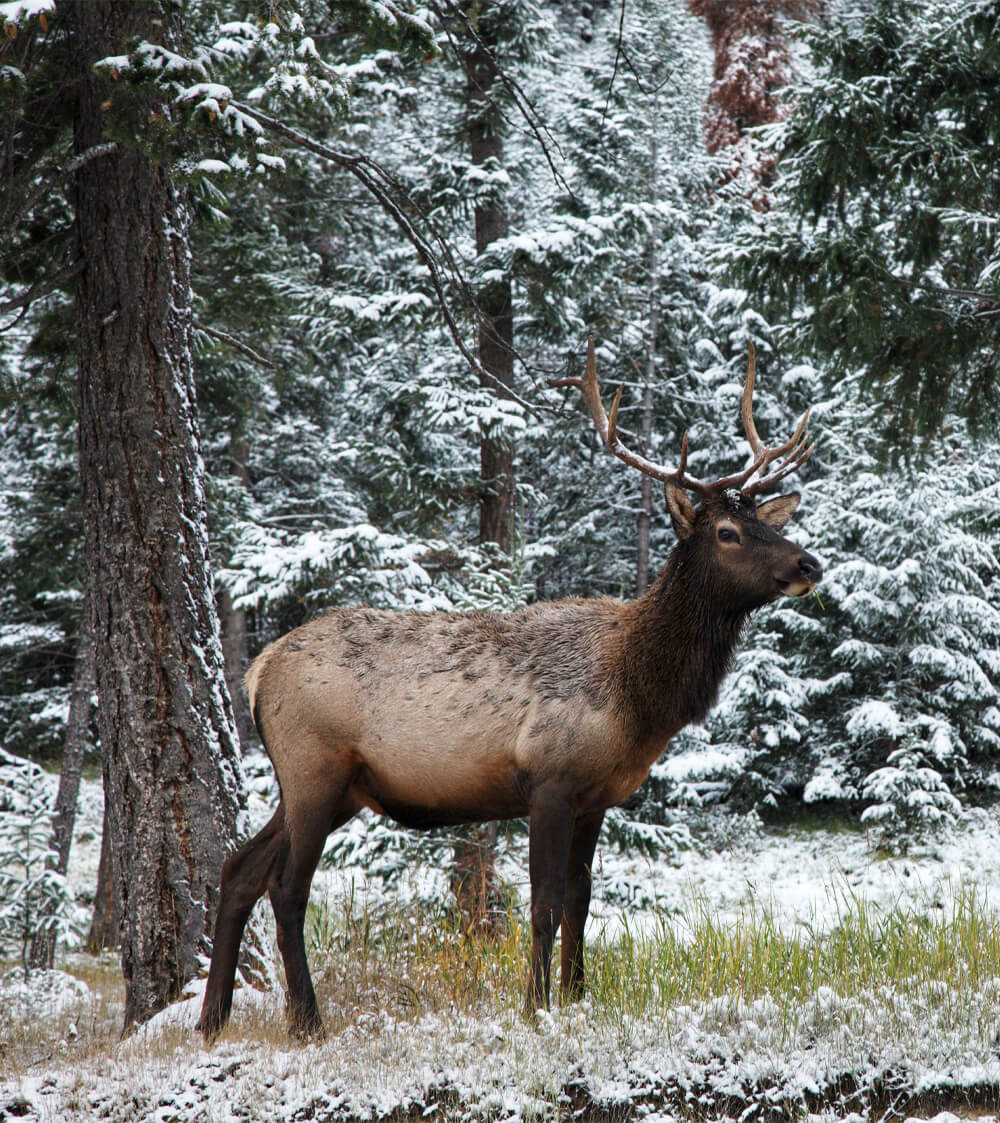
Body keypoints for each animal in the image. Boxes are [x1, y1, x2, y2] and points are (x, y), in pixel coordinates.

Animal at [194, 339, 817, 1042]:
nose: (809, 564)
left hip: (336, 785)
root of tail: (258, 670)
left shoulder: (596, 797)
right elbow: (544, 903)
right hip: (313, 766)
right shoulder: (549, 778)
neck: (637, 696)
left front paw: (578, 996)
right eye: (727, 533)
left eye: (765, 523)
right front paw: (535, 1005)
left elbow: (581, 900)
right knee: (286, 885)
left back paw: (212, 1019)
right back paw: (305, 1020)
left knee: (239, 869)